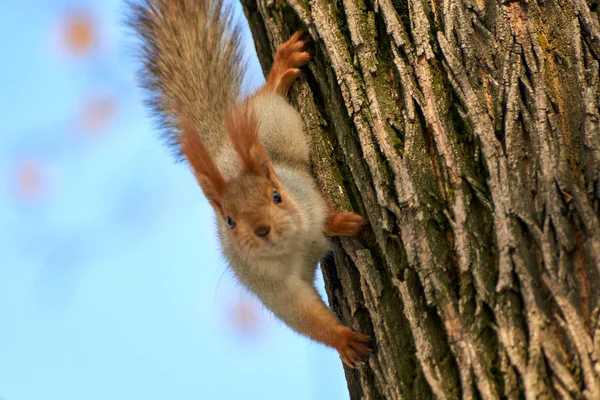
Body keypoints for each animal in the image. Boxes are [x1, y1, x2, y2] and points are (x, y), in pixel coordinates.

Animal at [130, 0, 370, 368]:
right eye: (229, 221)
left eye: (277, 196)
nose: (261, 230)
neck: (293, 248)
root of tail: (221, 146)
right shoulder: (269, 286)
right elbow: (302, 316)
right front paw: (344, 341)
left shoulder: (303, 193)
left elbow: (322, 210)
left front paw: (340, 222)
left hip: (271, 119)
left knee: (265, 97)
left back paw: (281, 70)